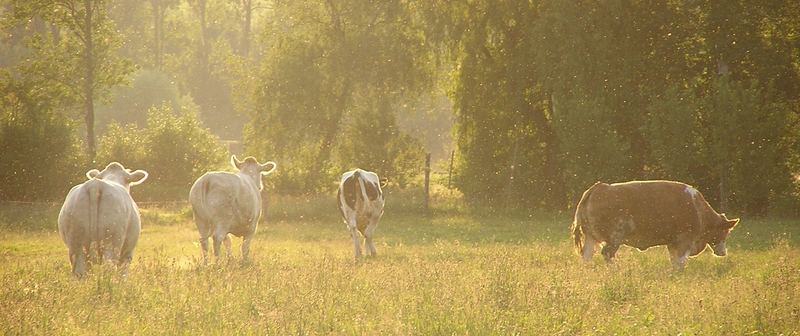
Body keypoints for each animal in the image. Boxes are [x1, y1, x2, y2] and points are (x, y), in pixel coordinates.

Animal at [572, 180, 740, 270]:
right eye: (726, 232)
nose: (724, 252)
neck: (697, 207)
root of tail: (600, 187)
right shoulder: (685, 240)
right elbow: (681, 261)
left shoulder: (672, 243)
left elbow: (674, 261)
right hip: (615, 238)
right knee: (607, 254)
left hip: (591, 237)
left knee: (587, 256)